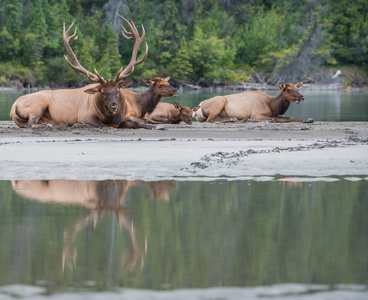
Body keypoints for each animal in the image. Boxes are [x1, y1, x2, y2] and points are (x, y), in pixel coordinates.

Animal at [9, 16, 152, 129]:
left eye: (117, 90)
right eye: (102, 92)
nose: (113, 106)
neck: (114, 117)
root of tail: (12, 107)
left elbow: (140, 122)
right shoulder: (86, 115)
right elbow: (104, 125)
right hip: (38, 105)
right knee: (30, 123)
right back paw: (49, 125)